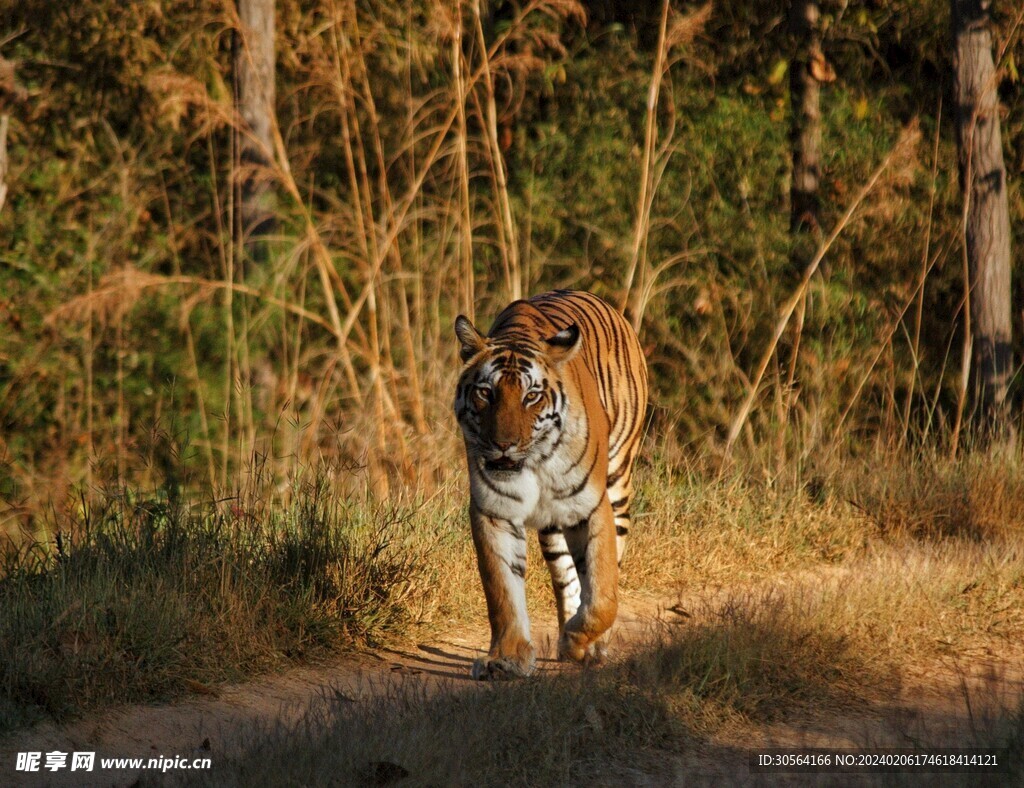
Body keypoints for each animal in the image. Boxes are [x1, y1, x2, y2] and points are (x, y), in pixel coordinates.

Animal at [453, 289, 649, 679]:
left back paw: (589, 645)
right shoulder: (495, 511)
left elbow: (603, 592)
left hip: (618, 483)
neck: (535, 463)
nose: (503, 444)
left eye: (531, 396)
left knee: (609, 563)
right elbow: (502, 589)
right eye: (486, 393)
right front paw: (507, 659)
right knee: (566, 575)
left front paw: (582, 641)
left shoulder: (591, 507)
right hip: (553, 525)